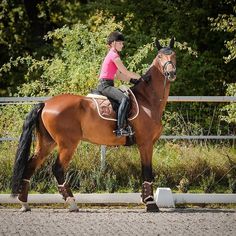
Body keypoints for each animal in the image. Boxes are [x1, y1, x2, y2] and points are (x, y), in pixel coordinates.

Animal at [12, 38, 176, 212]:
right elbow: (147, 171)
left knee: (30, 166)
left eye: (174, 55)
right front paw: (151, 203)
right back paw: (72, 202)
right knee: (57, 169)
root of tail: (46, 103)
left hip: (47, 143)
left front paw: (146, 200)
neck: (148, 99)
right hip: (67, 144)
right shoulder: (145, 143)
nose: (171, 73)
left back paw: (24, 203)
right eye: (159, 56)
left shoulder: (146, 144)